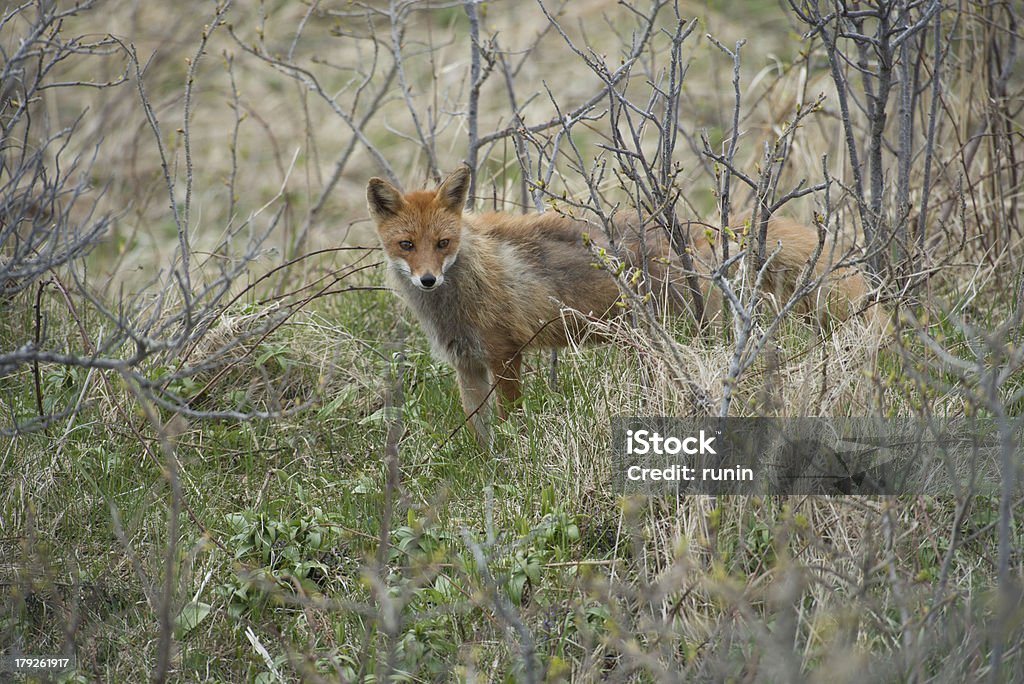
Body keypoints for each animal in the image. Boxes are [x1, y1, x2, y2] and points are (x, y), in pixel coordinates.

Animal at [366, 165, 872, 444]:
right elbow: (479, 431)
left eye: (443, 243)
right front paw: (487, 464)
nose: (428, 280)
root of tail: (693, 234)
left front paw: (510, 457)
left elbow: (510, 421)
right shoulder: (468, 365)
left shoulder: (506, 356)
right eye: (407, 245)